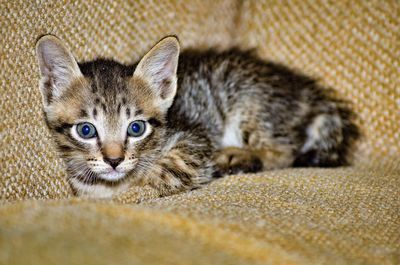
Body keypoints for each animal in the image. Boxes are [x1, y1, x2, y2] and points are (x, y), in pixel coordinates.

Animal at [36, 35, 358, 197]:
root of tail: (307, 90)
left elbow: (167, 171)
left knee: (284, 151)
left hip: (246, 98)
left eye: (136, 128)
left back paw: (240, 157)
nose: (114, 160)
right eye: (86, 130)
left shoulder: (194, 138)